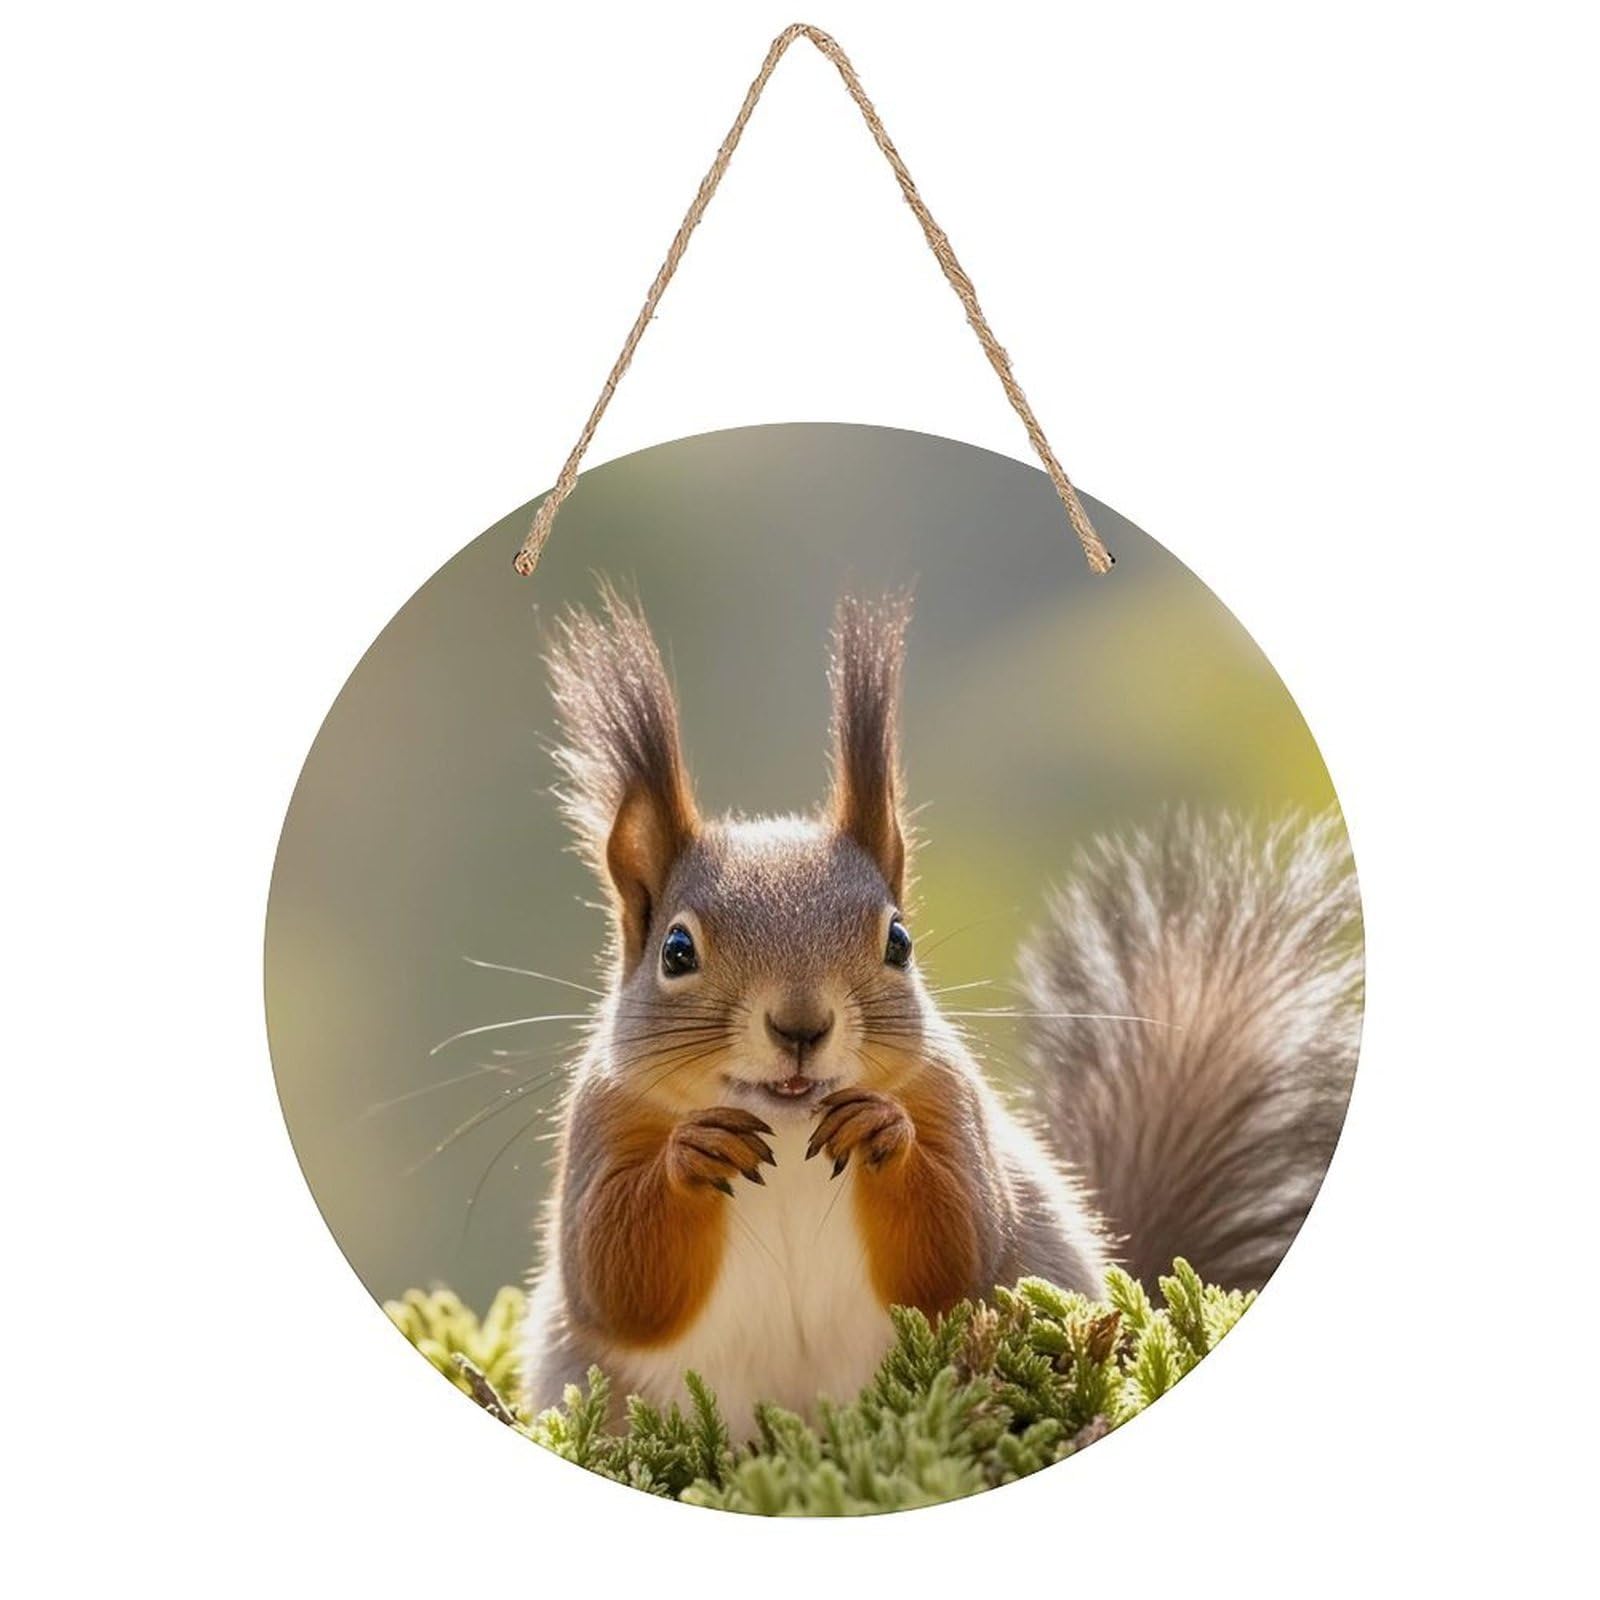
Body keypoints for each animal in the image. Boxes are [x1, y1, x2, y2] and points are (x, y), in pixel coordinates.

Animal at [520, 587, 1362, 1428]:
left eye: (899, 940)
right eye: (676, 952)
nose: (801, 1026)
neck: (787, 1130)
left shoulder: (952, 1105)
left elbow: (958, 1243)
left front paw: (882, 1130)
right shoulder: (597, 1129)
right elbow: (615, 1278)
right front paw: (692, 1152)